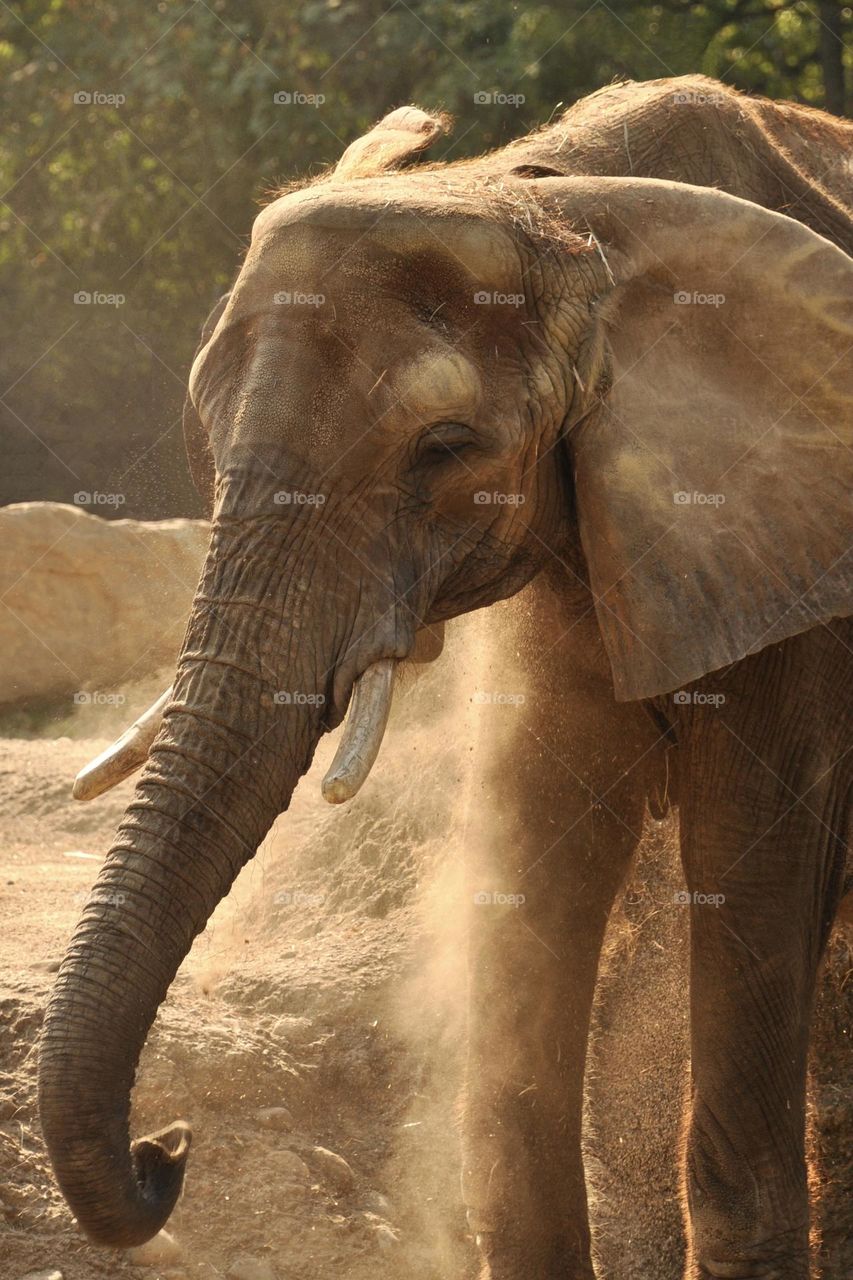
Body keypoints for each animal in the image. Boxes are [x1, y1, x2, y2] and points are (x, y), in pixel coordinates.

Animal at [39, 80, 850, 1280]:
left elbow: (758, 875)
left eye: (444, 447)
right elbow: (533, 863)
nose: (168, 1145)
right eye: (204, 444)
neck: (550, 200)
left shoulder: (793, 551)